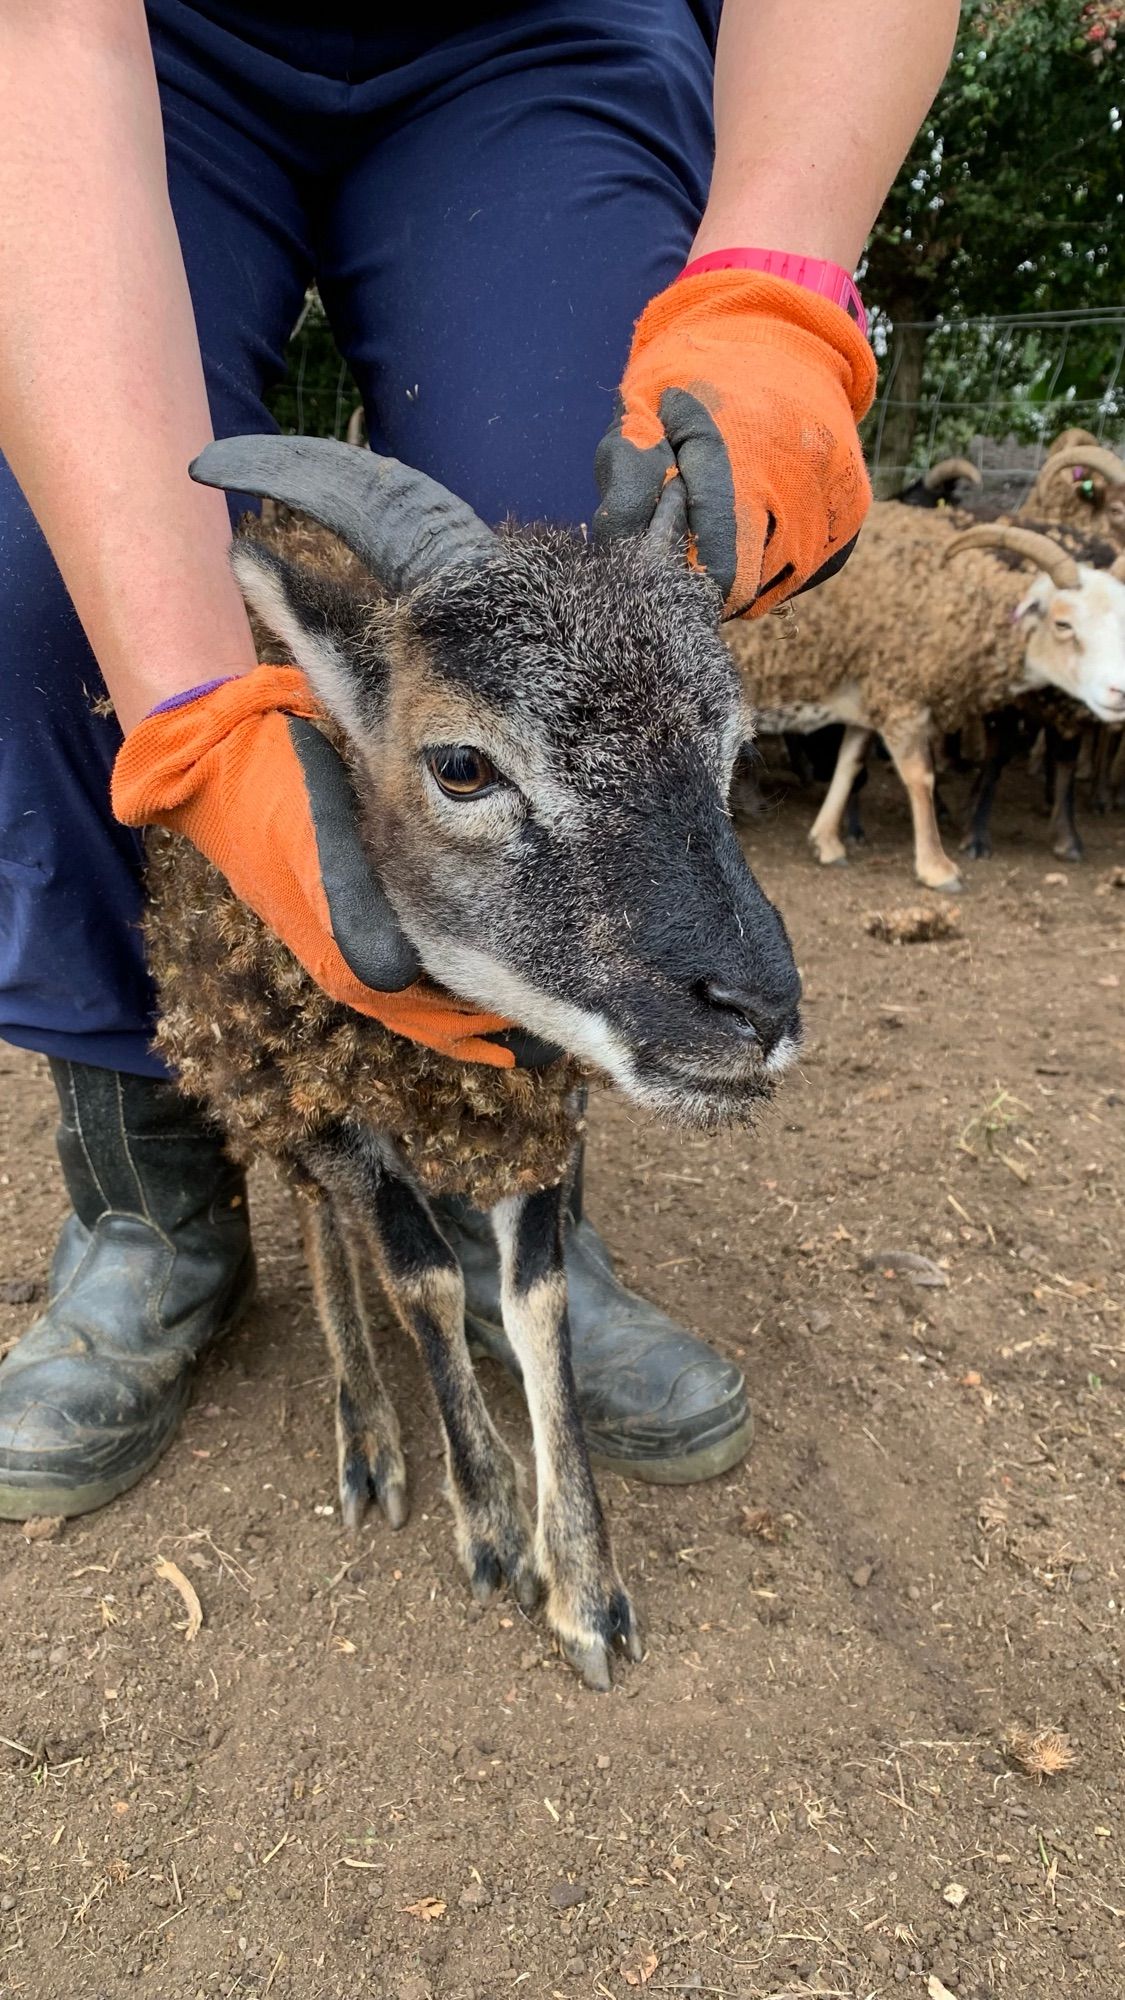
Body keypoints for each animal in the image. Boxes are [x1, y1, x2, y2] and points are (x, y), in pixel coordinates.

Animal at [147, 434, 796, 1688]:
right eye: (460, 763)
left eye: (733, 747)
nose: (758, 1006)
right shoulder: (342, 1080)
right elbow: (425, 1277)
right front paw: (490, 1518)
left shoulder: (542, 1100)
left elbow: (535, 1291)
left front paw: (584, 1586)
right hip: (264, 1057)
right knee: (322, 1215)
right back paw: (366, 1433)